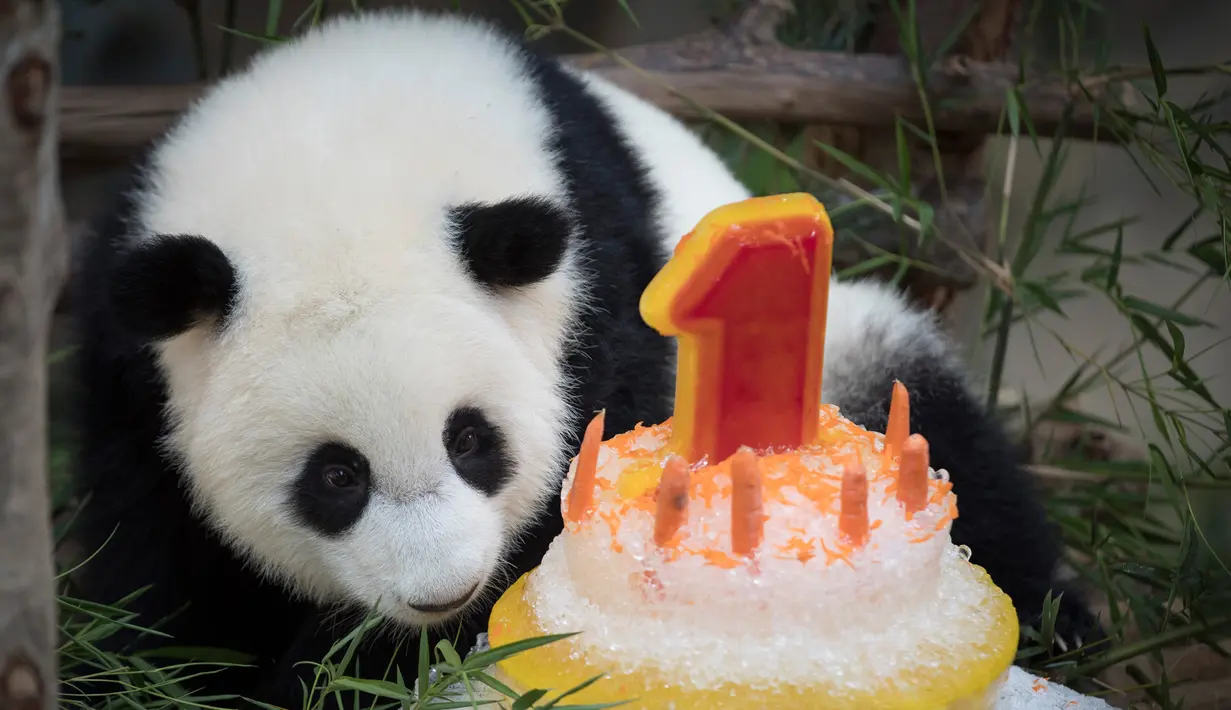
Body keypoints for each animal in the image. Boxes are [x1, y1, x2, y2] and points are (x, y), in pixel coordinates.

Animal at [68, 8, 1100, 707]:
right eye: (335, 476)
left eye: (471, 440)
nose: (442, 592)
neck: (331, 171)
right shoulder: (128, 365)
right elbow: (153, 575)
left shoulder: (597, 287)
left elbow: (573, 488)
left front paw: (357, 671)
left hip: (850, 348)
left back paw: (1066, 625)